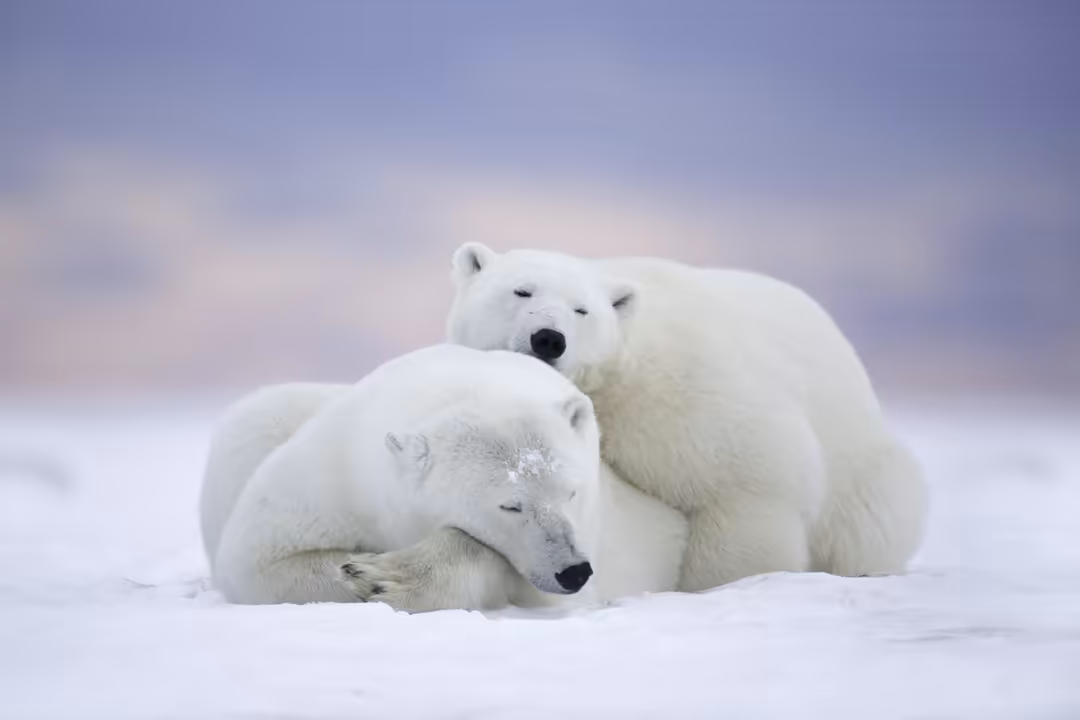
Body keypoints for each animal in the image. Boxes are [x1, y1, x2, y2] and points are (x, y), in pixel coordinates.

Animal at [200, 344, 687, 611]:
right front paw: (357, 571)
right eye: (510, 505)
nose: (573, 571)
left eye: (571, 492)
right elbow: (259, 558)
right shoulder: (334, 477)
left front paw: (385, 577)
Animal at [447, 243, 927, 592]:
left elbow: (746, 487)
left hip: (863, 475)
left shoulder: (688, 398)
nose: (549, 338)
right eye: (521, 291)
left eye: (582, 310)